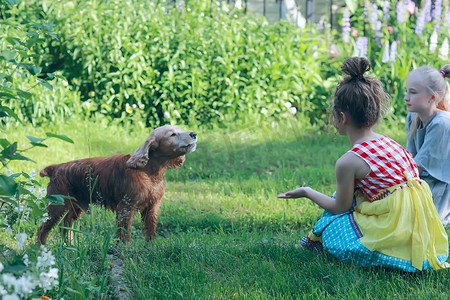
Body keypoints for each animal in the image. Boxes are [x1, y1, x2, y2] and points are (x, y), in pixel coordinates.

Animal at [35, 124, 197, 244]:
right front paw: (125, 250)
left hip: (74, 208)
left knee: (65, 226)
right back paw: (40, 248)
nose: (194, 134)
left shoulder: (152, 207)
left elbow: (150, 230)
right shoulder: (126, 207)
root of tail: (54, 168)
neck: (149, 171)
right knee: (43, 228)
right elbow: (125, 234)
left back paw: (69, 246)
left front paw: (152, 247)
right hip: (57, 207)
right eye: (172, 134)